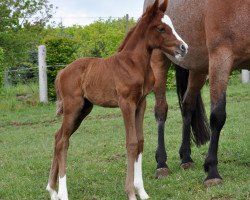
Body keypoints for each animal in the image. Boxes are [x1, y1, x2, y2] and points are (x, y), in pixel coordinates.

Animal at [46, 0, 188, 199]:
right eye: (161, 28)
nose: (184, 48)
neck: (134, 63)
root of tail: (61, 72)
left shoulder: (141, 103)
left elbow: (140, 141)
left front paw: (142, 191)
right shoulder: (126, 103)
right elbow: (131, 143)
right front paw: (130, 192)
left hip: (84, 109)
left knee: (58, 136)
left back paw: (52, 190)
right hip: (73, 107)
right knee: (62, 142)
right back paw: (62, 193)